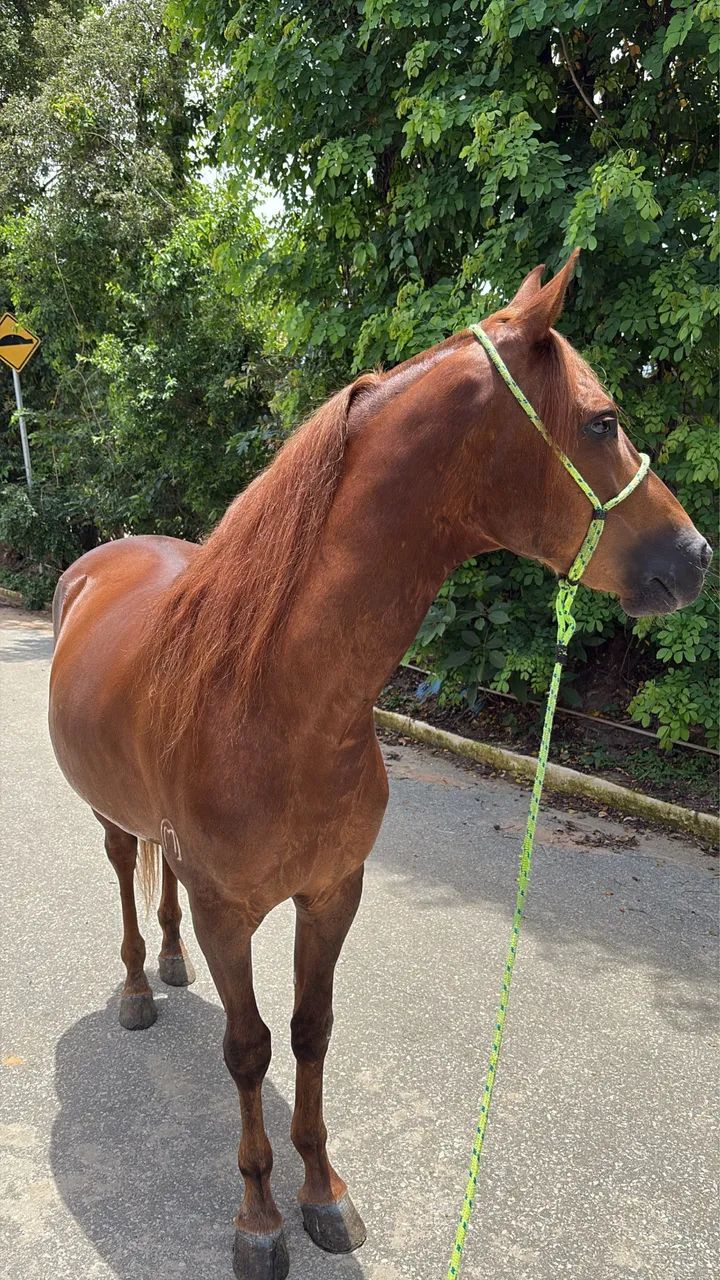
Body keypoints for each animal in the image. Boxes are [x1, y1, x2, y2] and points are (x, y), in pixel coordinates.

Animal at [48, 254, 711, 1279]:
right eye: (603, 421)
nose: (696, 556)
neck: (277, 704)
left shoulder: (333, 893)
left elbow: (311, 1032)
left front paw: (324, 1192)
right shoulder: (229, 909)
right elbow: (249, 1048)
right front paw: (259, 1218)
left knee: (161, 900)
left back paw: (169, 961)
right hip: (113, 818)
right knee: (125, 873)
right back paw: (134, 989)